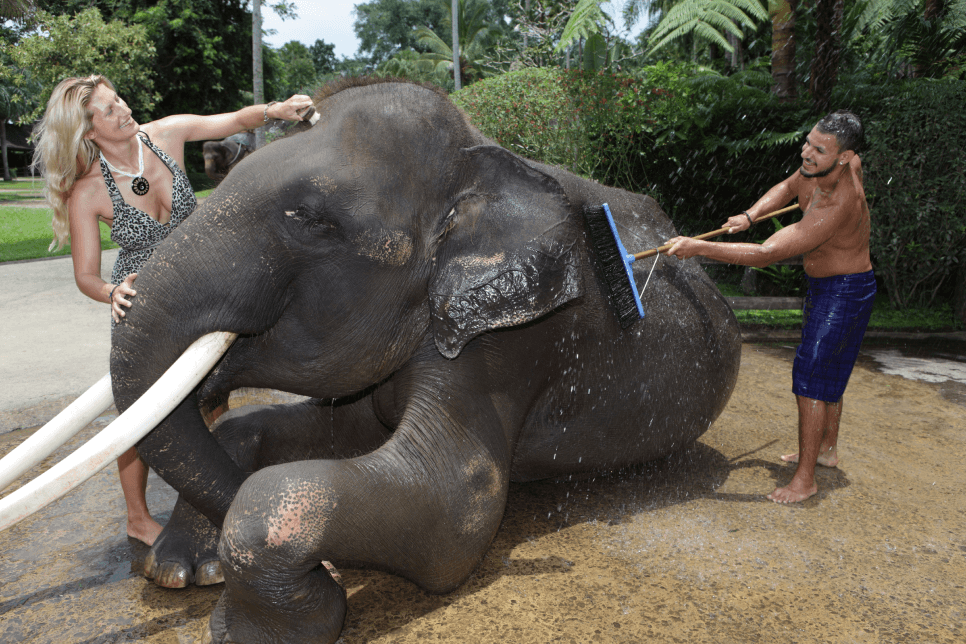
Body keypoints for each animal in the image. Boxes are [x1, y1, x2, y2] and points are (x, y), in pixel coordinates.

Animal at [101, 77, 741, 643]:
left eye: (313, 220)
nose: (124, 294)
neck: (478, 156)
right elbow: (317, 426)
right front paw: (181, 572)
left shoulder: (513, 341)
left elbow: (454, 504)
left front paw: (259, 624)